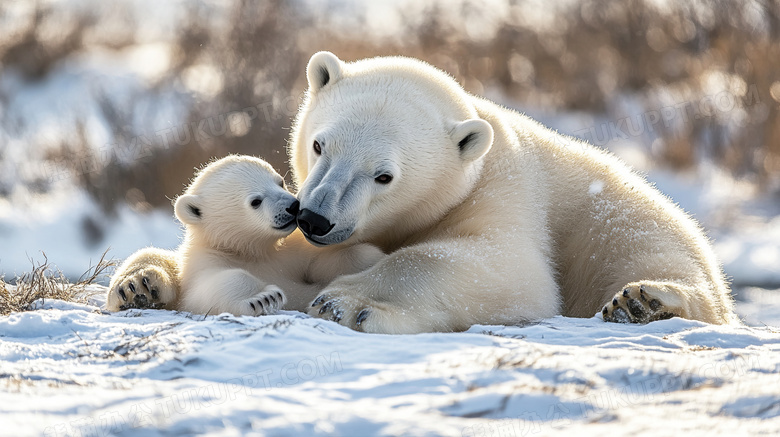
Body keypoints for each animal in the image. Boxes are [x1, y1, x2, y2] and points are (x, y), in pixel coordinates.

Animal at [292, 51, 736, 332]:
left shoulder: (502, 191)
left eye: (384, 176)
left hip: (634, 222)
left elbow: (511, 269)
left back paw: (645, 302)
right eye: (319, 145)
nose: (314, 218)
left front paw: (345, 303)